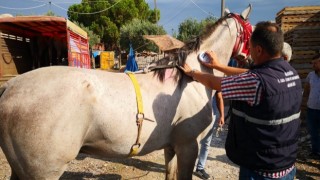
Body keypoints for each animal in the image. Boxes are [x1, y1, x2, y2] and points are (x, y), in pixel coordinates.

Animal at [0, 5, 252, 180]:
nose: (249, 60)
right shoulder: (188, 146)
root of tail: (10, 88)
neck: (191, 78)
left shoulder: (172, 147)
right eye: (250, 33)